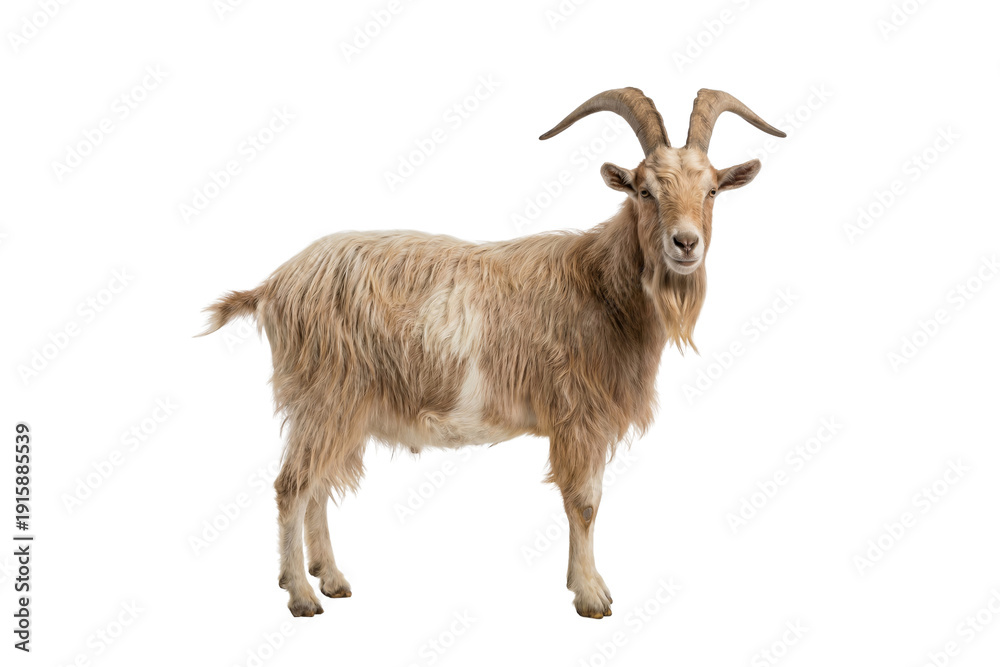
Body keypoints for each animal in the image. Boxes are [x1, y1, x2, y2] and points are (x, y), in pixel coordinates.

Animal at [200, 88, 785, 618]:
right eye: (644, 190)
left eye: (712, 191)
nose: (685, 244)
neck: (599, 285)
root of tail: (275, 285)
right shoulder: (578, 414)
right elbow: (585, 501)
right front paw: (591, 595)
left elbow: (587, 499)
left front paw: (583, 582)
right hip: (326, 395)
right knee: (292, 485)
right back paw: (301, 595)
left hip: (342, 406)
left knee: (318, 485)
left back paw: (331, 578)